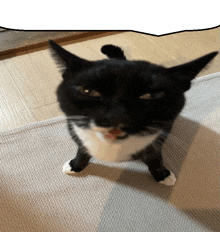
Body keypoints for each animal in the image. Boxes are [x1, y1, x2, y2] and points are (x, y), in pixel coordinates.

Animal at [48, 39, 217, 185]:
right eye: (88, 91)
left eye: (151, 95)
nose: (116, 115)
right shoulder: (75, 131)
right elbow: (82, 151)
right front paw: (76, 165)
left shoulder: (155, 142)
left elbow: (154, 158)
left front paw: (162, 175)